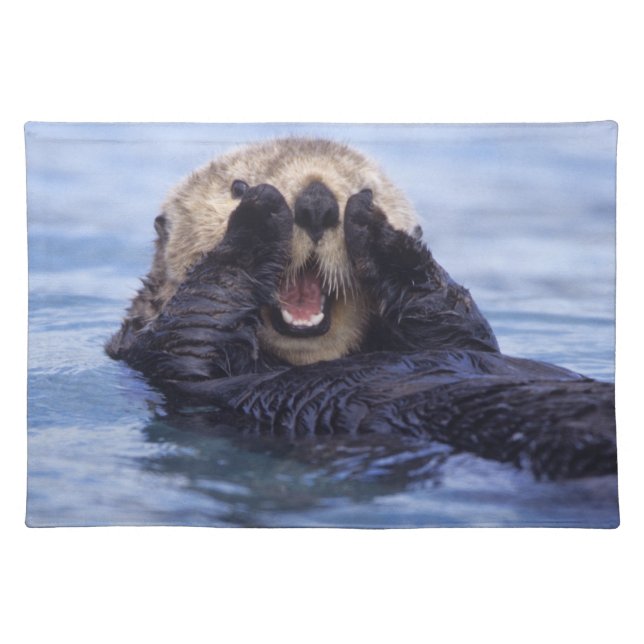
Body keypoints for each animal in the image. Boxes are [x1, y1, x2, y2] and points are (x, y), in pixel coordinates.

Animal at [107, 138, 616, 481]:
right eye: (236, 185)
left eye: (363, 186)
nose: (316, 201)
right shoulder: (160, 354)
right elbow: (198, 321)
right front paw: (258, 216)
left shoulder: (464, 339)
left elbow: (458, 323)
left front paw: (378, 229)